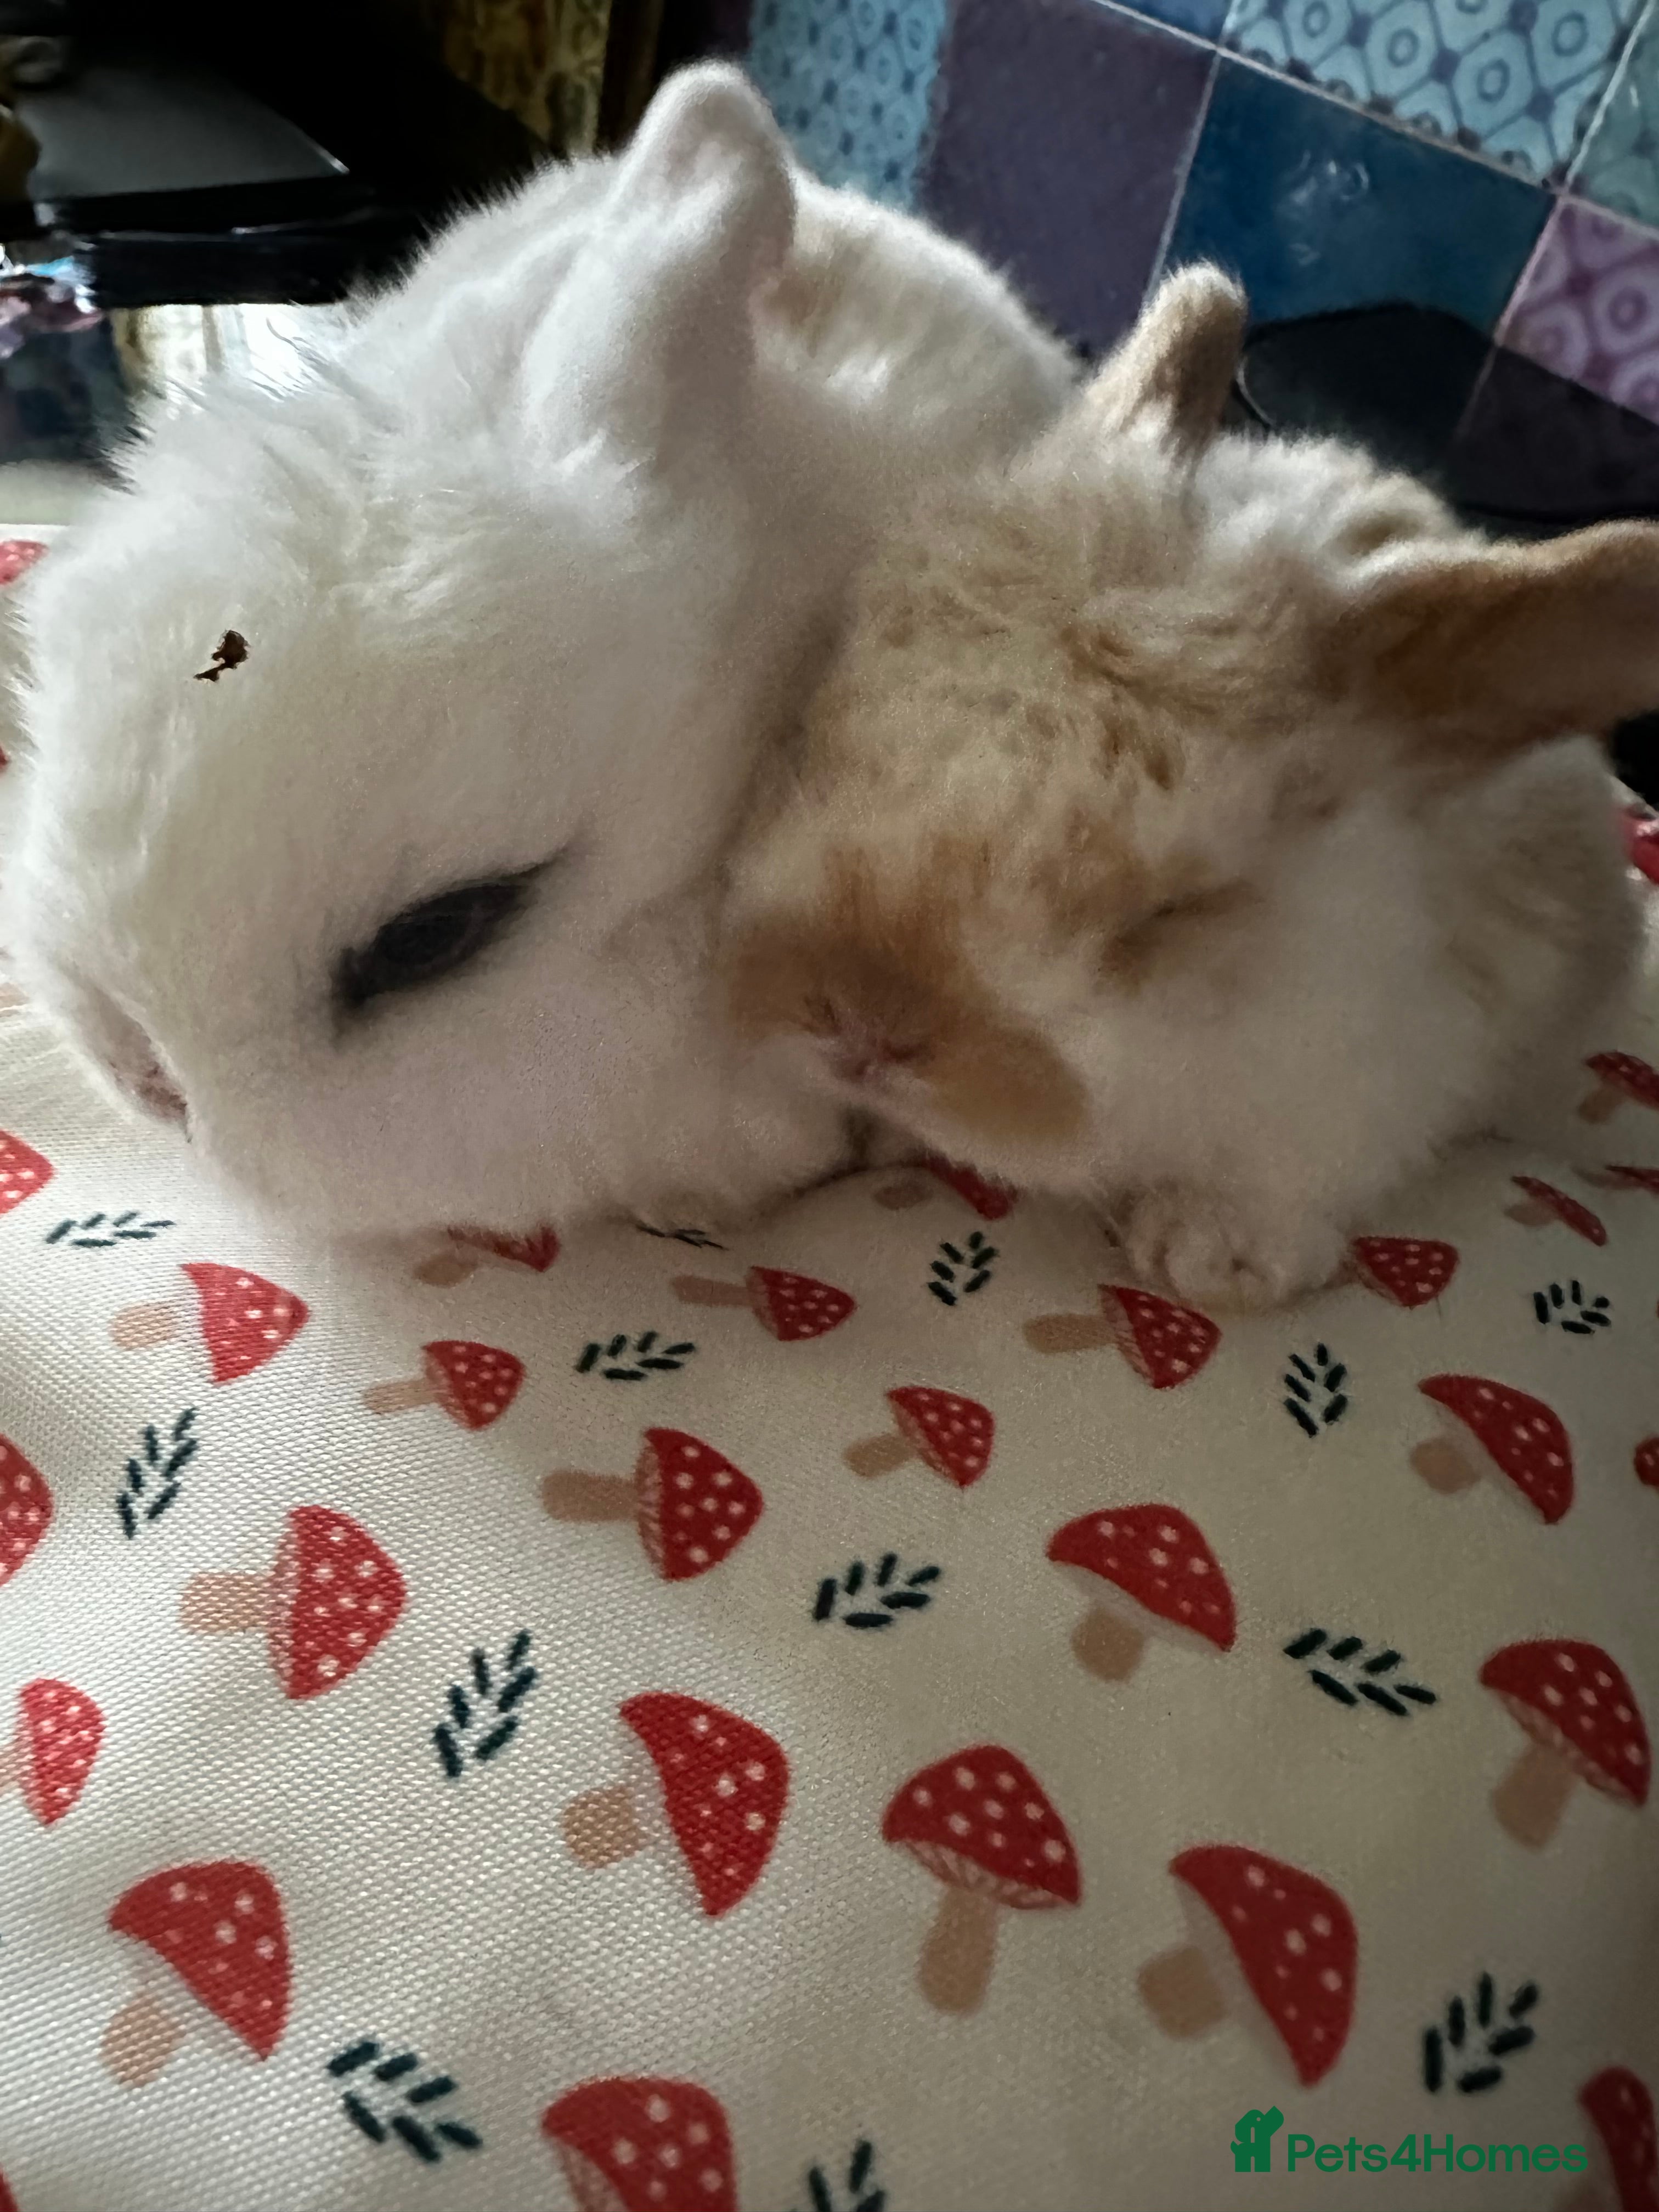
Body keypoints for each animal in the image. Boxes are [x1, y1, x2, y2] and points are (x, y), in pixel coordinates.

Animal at [720, 264, 1651, 1310]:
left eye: (1171, 916)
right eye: (816, 732)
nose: (862, 1021)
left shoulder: (1373, 1087)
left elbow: (1287, 1176)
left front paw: (1211, 1259)